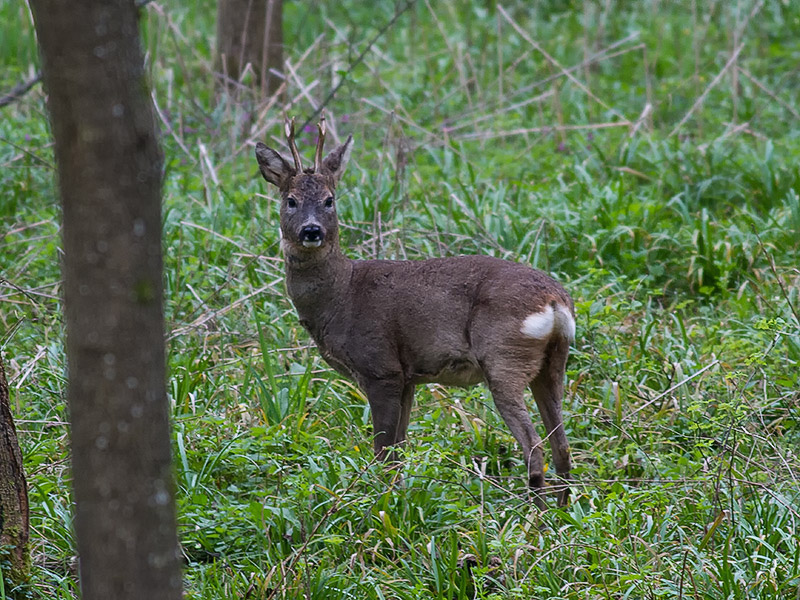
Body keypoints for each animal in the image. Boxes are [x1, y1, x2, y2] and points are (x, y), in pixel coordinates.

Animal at [256, 117, 576, 506]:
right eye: (291, 200)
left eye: (329, 200)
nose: (312, 230)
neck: (341, 296)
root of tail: (555, 301)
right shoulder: (408, 377)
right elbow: (399, 451)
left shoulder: (381, 368)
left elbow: (383, 454)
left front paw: (381, 504)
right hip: (553, 363)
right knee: (562, 446)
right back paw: (561, 513)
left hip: (504, 357)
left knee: (535, 446)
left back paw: (534, 515)